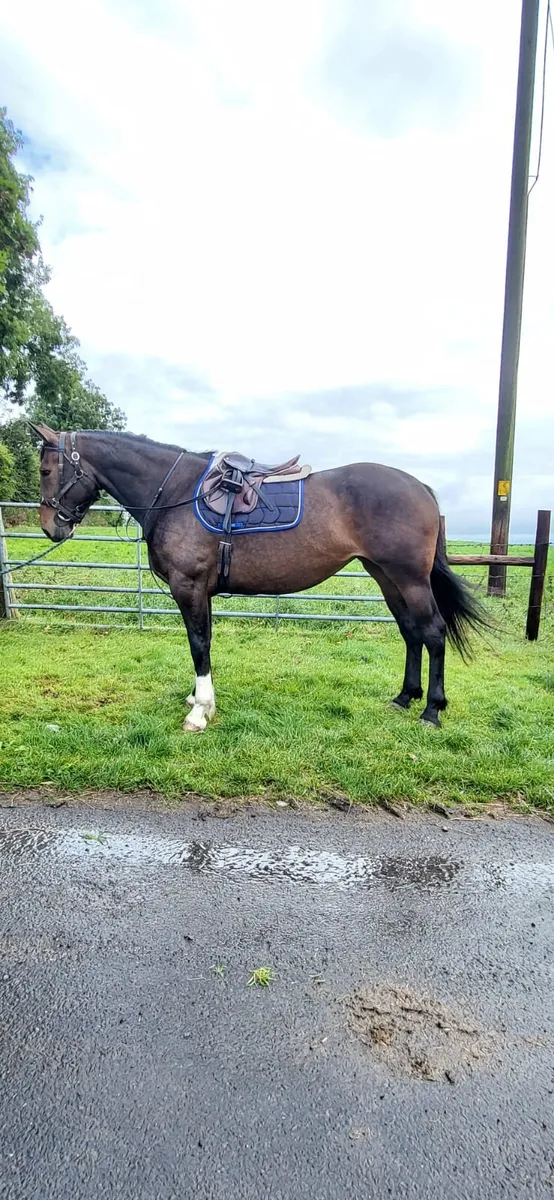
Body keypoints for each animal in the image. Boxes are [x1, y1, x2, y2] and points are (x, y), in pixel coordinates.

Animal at [31, 423, 486, 732]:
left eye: (47, 470)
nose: (51, 527)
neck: (175, 491)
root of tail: (420, 487)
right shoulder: (201, 592)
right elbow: (204, 643)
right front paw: (199, 699)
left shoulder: (188, 587)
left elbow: (198, 644)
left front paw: (200, 712)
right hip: (386, 577)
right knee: (411, 632)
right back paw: (404, 698)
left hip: (409, 579)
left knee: (432, 632)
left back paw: (431, 710)